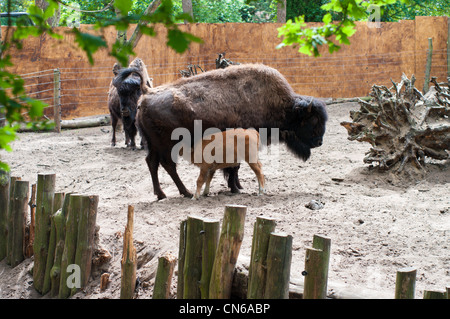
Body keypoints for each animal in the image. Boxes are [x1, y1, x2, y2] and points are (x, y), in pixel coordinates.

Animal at [121, 63, 328, 200]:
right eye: (312, 121)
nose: (319, 142)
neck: (286, 107)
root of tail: (146, 95)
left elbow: (234, 166)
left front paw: (237, 186)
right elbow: (234, 167)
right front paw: (236, 188)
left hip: (153, 145)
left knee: (153, 163)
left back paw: (162, 194)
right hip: (166, 145)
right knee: (167, 165)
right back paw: (185, 192)